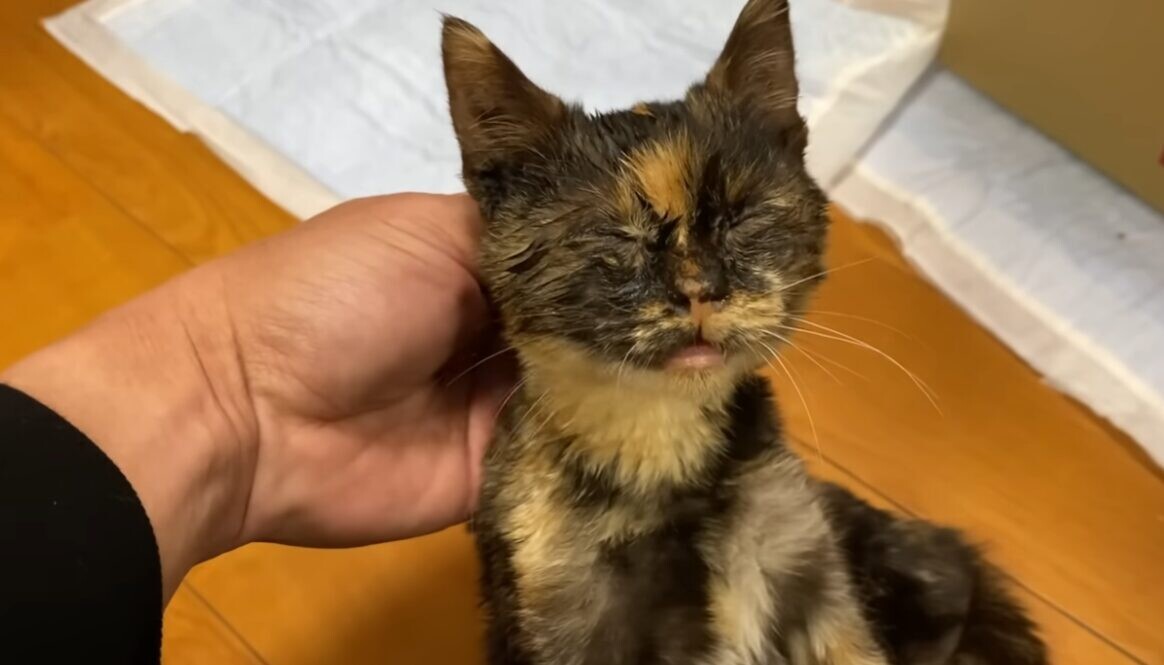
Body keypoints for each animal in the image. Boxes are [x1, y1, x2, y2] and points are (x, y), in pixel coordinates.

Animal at [440, 0, 1048, 663]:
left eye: (740, 216)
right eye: (617, 234)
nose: (699, 286)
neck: (662, 447)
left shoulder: (814, 576)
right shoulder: (564, 611)